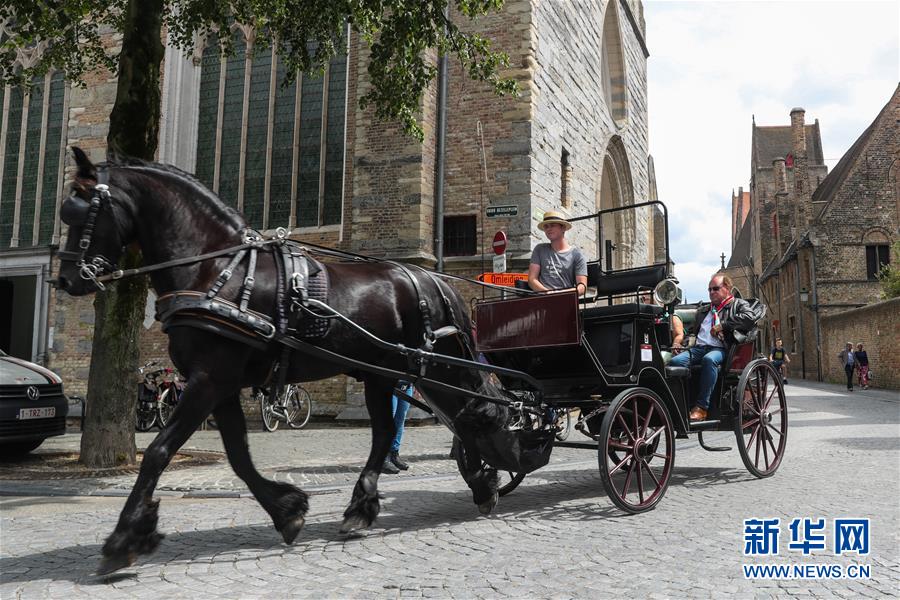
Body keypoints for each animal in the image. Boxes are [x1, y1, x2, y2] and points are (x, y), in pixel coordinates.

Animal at [58, 148, 520, 576]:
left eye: (80, 212)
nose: (66, 280)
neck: (215, 269)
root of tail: (430, 277)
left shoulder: (209, 379)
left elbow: (158, 451)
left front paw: (124, 538)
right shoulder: (220, 384)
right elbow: (238, 456)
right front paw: (288, 509)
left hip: (430, 366)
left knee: (471, 411)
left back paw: (479, 482)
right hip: (382, 373)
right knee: (406, 427)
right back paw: (372, 505)